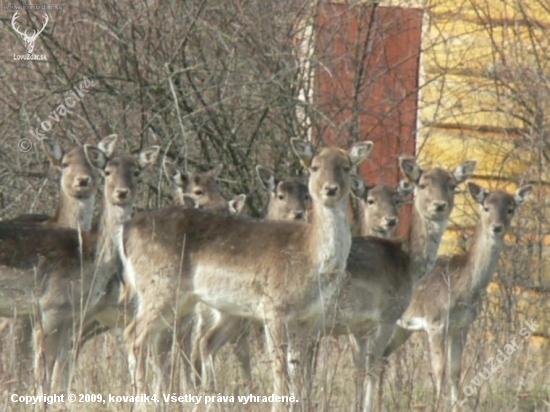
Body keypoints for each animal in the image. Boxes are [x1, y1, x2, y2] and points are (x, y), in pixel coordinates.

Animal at [0, 142, 160, 392]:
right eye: (107, 172)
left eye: (136, 172)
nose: (121, 192)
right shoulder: (51, 307)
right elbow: (43, 372)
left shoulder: (72, 317)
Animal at [118, 138, 374, 406]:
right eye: (314, 167)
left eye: (346, 167)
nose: (331, 189)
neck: (310, 256)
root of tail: (125, 230)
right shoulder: (274, 308)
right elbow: (280, 371)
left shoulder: (308, 319)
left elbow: (300, 375)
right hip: (159, 287)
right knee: (135, 335)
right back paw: (144, 401)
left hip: (182, 299)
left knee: (157, 341)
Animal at [384, 183, 536, 408]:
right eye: (486, 207)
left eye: (510, 209)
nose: (497, 227)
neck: (464, 288)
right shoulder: (436, 322)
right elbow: (439, 372)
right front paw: (436, 405)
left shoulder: (462, 326)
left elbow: (456, 372)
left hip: (402, 327)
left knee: (381, 357)